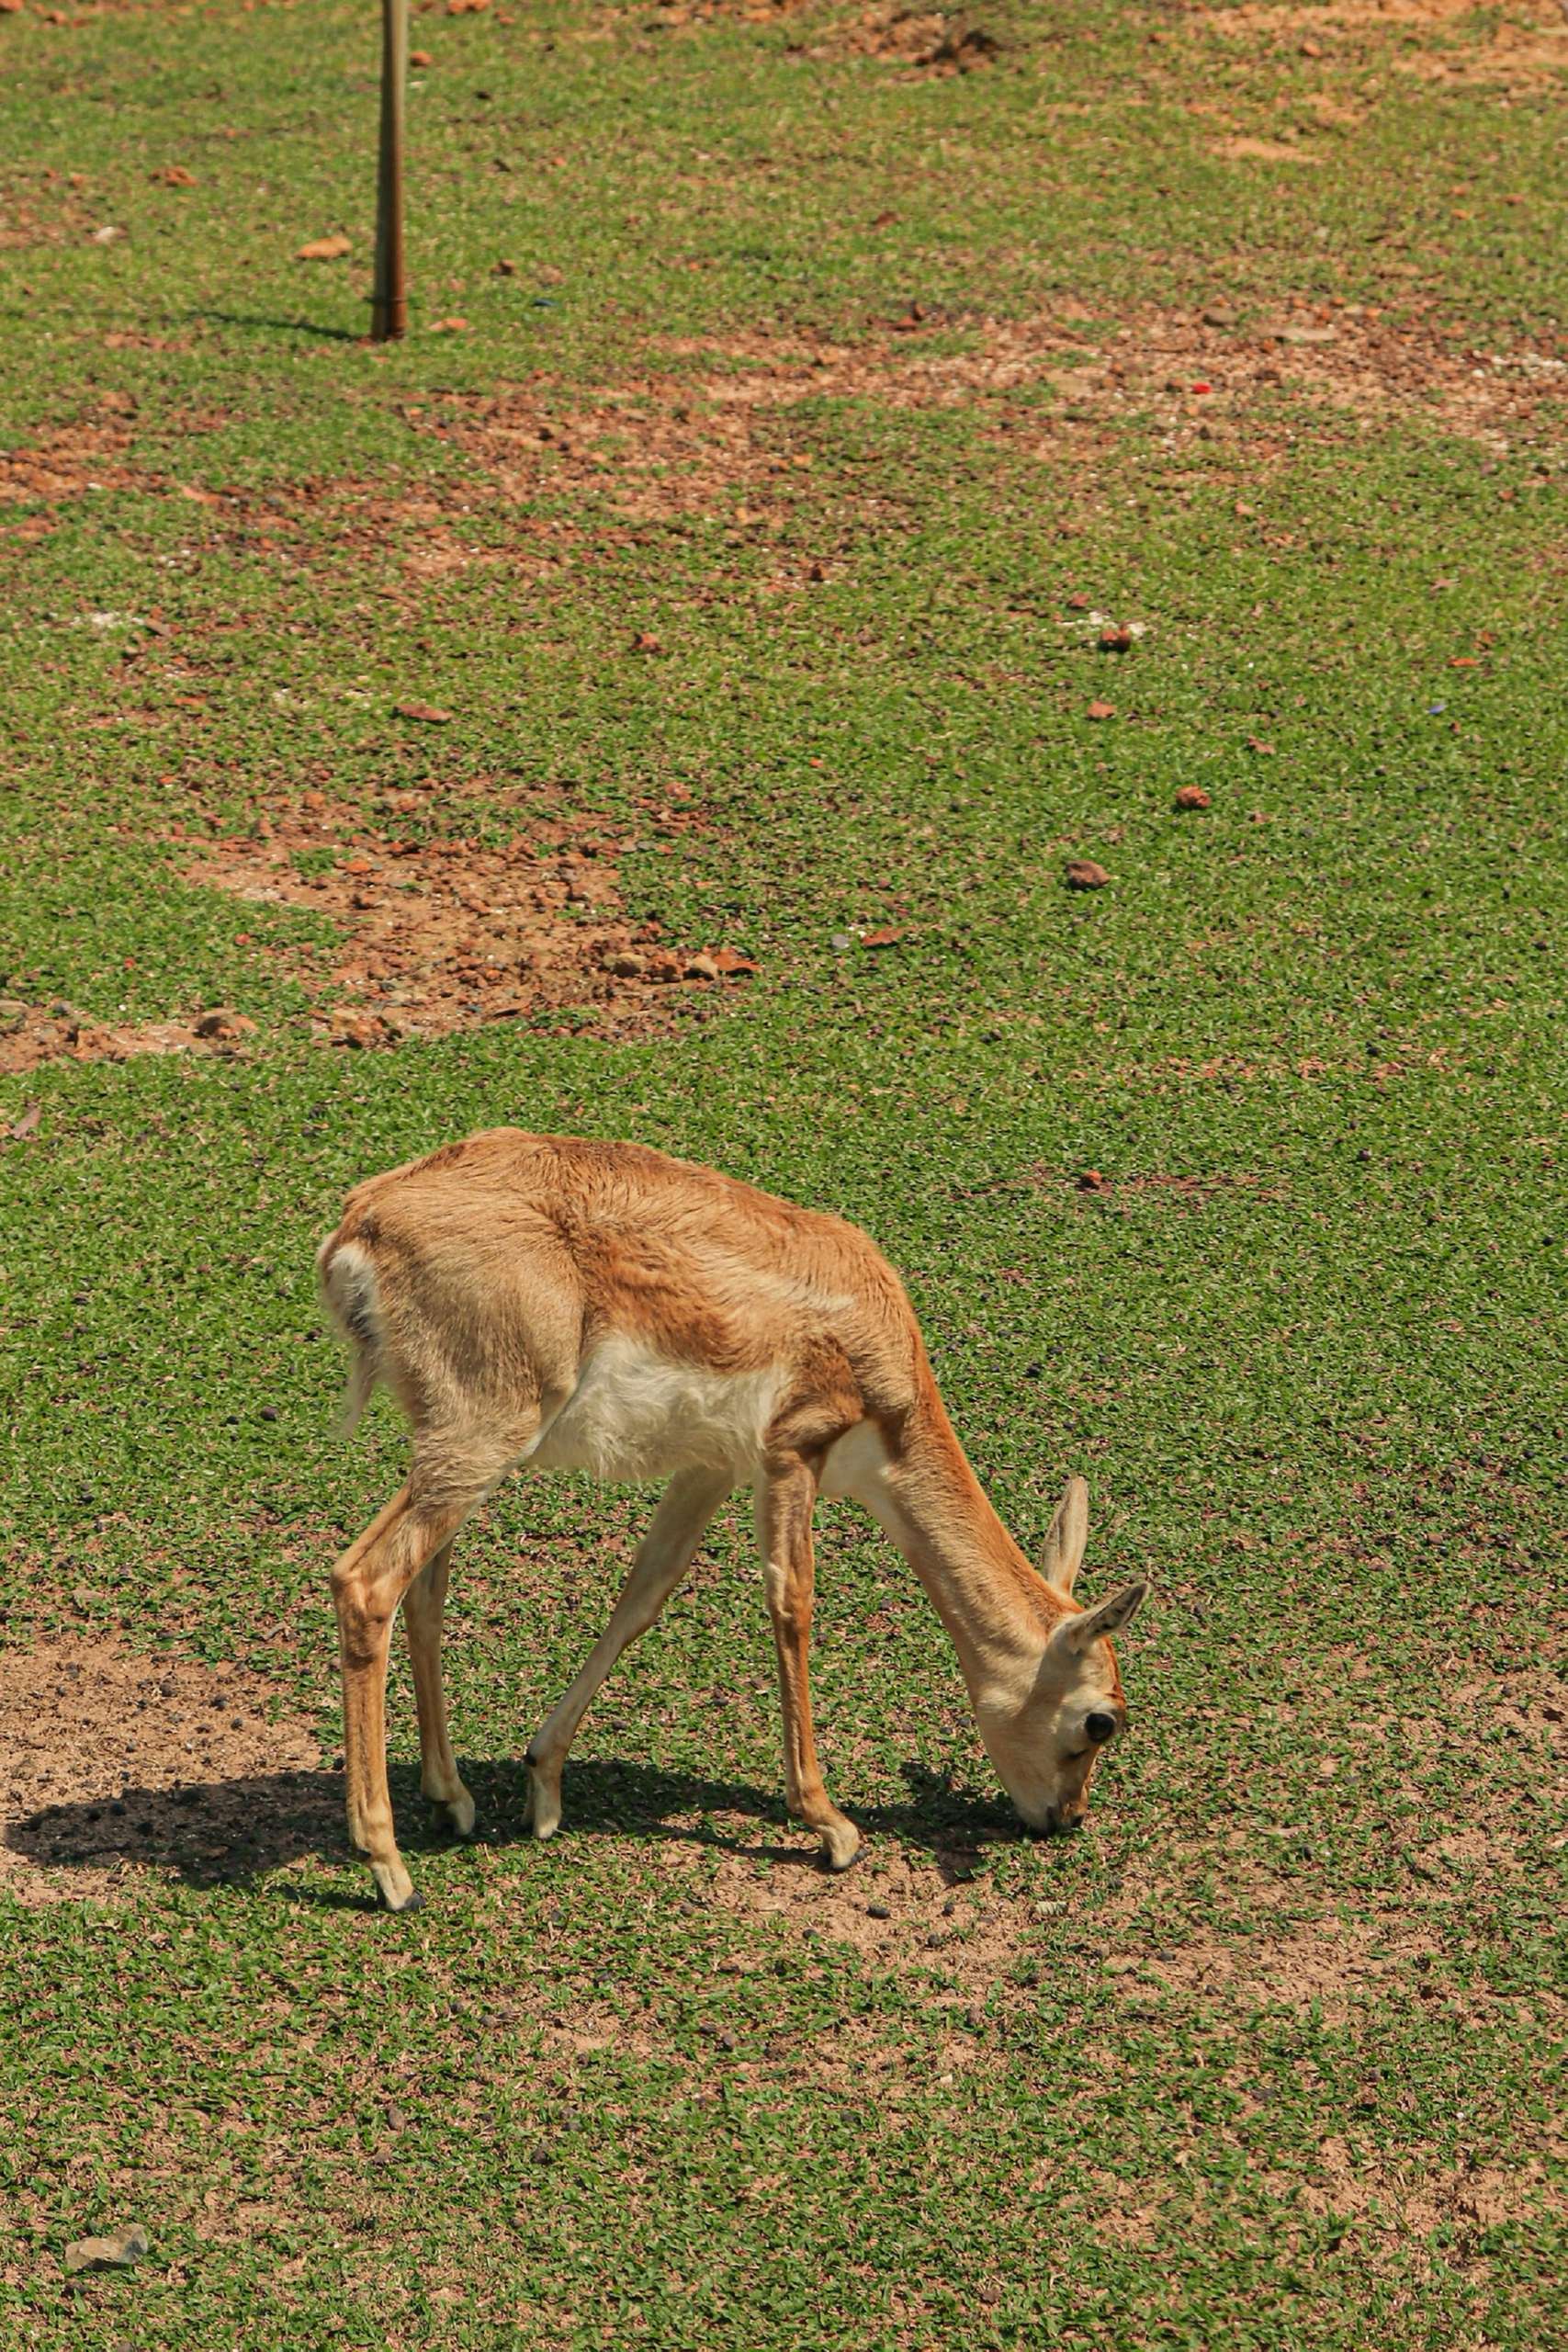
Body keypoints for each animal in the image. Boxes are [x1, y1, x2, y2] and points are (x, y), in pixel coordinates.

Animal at [320, 1128, 1152, 1918]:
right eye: (1100, 1721)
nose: (1064, 1817)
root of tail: (366, 1218)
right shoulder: (793, 1452)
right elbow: (792, 1604)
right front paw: (831, 1826)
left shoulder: (711, 1468)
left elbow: (643, 1596)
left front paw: (544, 1786)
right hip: (483, 1439)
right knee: (365, 1581)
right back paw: (389, 1870)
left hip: (454, 1450)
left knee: (422, 1598)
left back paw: (450, 1801)